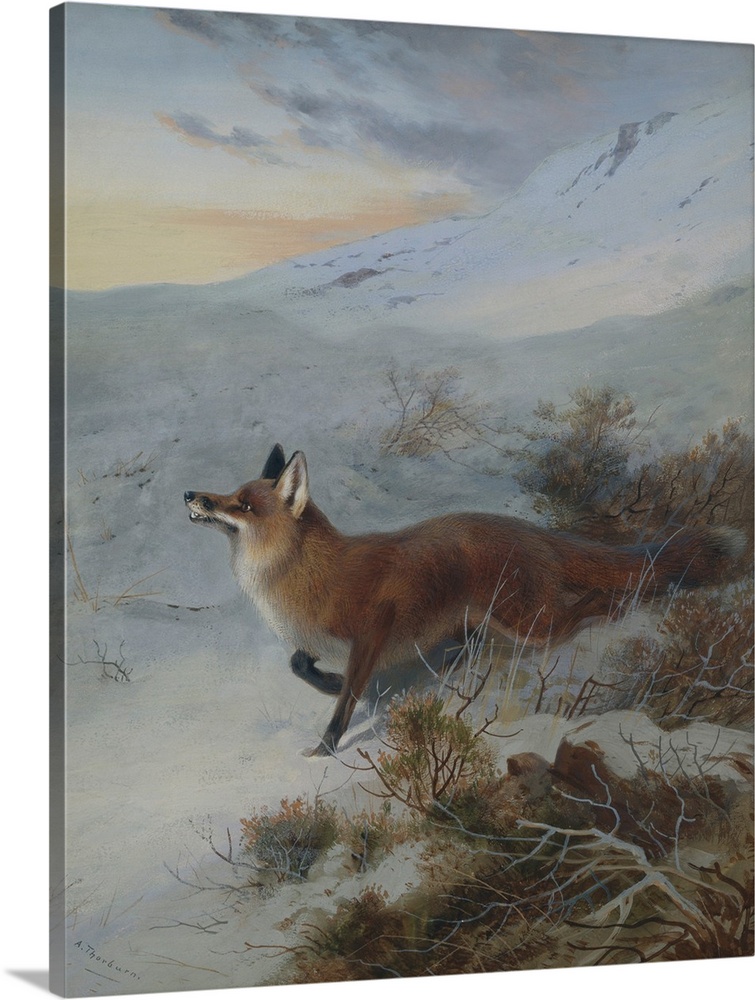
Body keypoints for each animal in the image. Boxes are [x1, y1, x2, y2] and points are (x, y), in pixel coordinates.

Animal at [185, 444, 743, 755]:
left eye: (244, 505)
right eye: (232, 495)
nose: (192, 494)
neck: (301, 579)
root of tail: (534, 531)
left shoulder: (372, 631)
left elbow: (344, 705)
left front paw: (326, 746)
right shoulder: (317, 640)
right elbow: (300, 665)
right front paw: (330, 683)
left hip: (528, 621)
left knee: (590, 605)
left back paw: (617, 612)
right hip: (480, 619)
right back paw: (454, 661)